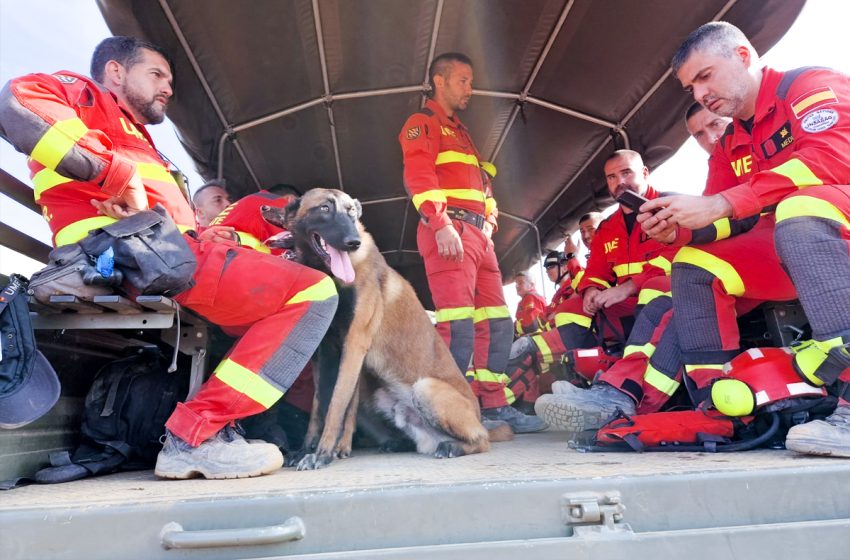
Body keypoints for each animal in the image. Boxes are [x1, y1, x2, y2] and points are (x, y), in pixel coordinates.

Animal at [262, 188, 506, 468]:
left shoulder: (354, 346)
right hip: (380, 397)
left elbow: (336, 405)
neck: (335, 274)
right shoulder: (324, 355)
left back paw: (453, 447)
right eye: (324, 208)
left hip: (426, 388)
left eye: (352, 212)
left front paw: (322, 454)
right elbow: (319, 407)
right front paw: (306, 450)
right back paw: (399, 443)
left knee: (482, 441)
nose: (353, 242)